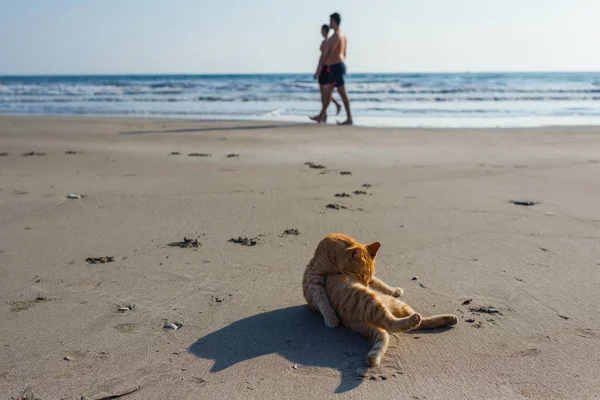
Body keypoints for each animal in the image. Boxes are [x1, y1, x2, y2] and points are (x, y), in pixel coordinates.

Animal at [302, 233, 458, 368]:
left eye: (367, 277)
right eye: (361, 275)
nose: (365, 284)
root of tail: (348, 322)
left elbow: (380, 283)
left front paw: (394, 289)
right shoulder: (315, 276)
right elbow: (321, 299)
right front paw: (330, 317)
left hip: (394, 304)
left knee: (416, 323)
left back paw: (448, 319)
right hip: (369, 301)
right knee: (391, 323)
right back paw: (415, 320)